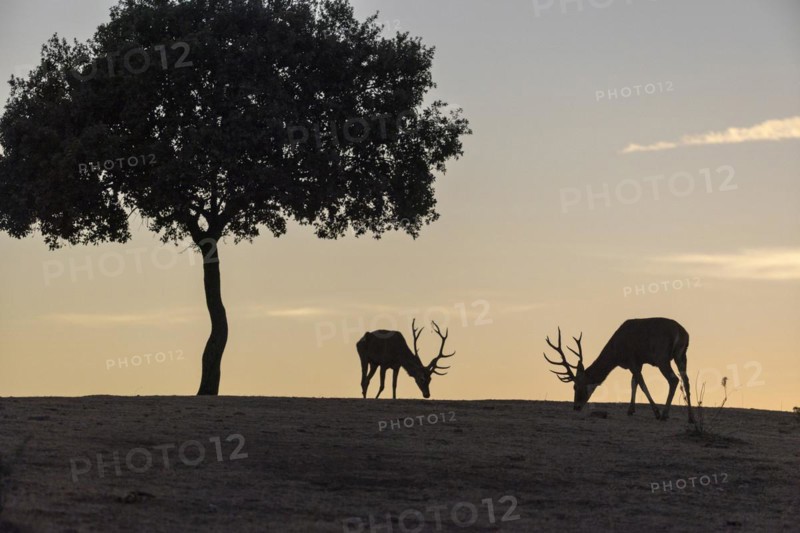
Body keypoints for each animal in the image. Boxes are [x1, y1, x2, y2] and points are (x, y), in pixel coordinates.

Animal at [543, 317, 695, 423]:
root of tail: (682, 333)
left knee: (674, 380)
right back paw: (691, 418)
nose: (576, 407)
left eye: (575, 386)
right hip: (682, 356)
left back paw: (664, 415)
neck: (616, 352)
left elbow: (641, 383)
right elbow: (634, 383)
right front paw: (630, 410)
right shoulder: (638, 362)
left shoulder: (632, 359)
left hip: (661, 356)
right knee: (686, 380)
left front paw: (656, 412)